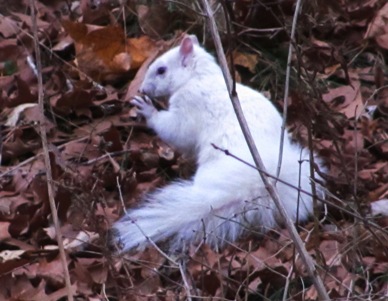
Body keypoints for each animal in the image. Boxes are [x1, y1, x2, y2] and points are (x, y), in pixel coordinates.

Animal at [113, 34, 324, 251]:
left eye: (161, 70)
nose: (141, 88)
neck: (198, 77)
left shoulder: (189, 105)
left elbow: (176, 131)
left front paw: (148, 110)